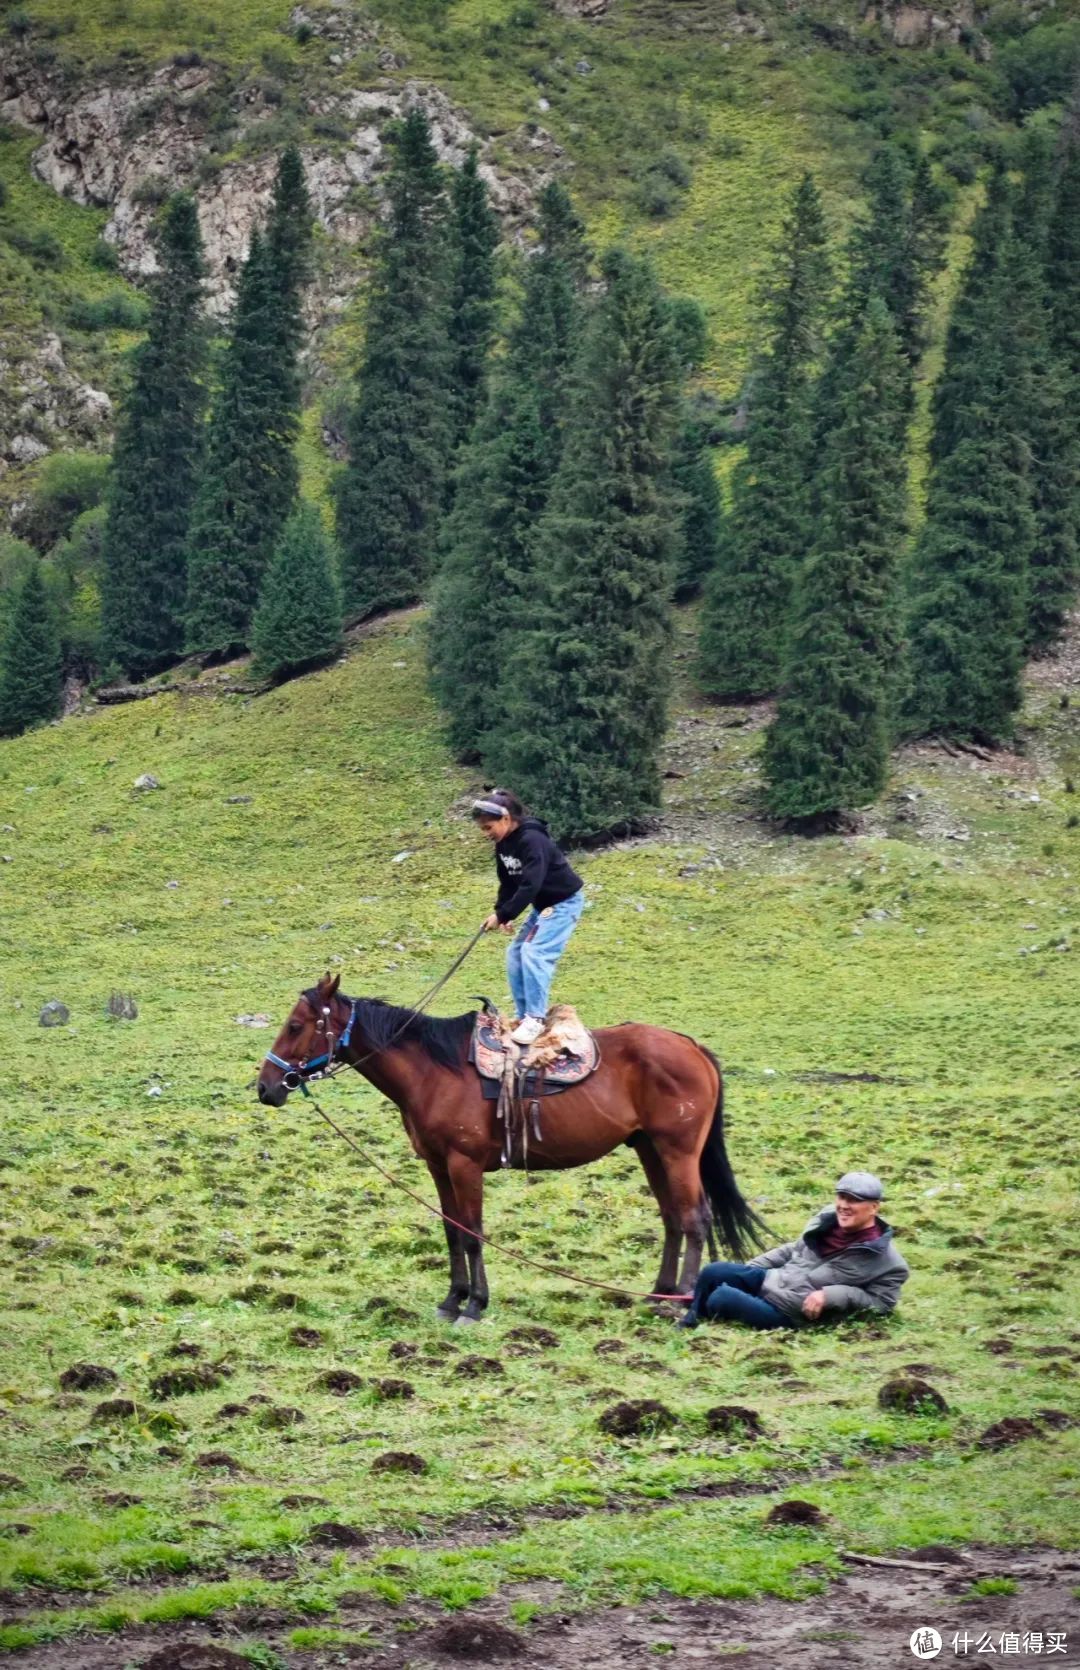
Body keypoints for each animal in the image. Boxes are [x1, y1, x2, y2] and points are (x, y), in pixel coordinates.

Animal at [258, 975, 767, 1322]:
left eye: (296, 1025)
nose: (266, 1087)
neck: (432, 1071)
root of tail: (692, 1047)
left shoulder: (464, 1165)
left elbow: (472, 1231)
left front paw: (474, 1305)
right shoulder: (438, 1167)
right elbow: (452, 1231)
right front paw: (452, 1300)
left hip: (678, 1151)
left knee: (694, 1217)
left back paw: (680, 1304)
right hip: (649, 1149)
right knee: (671, 1218)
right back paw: (658, 1294)